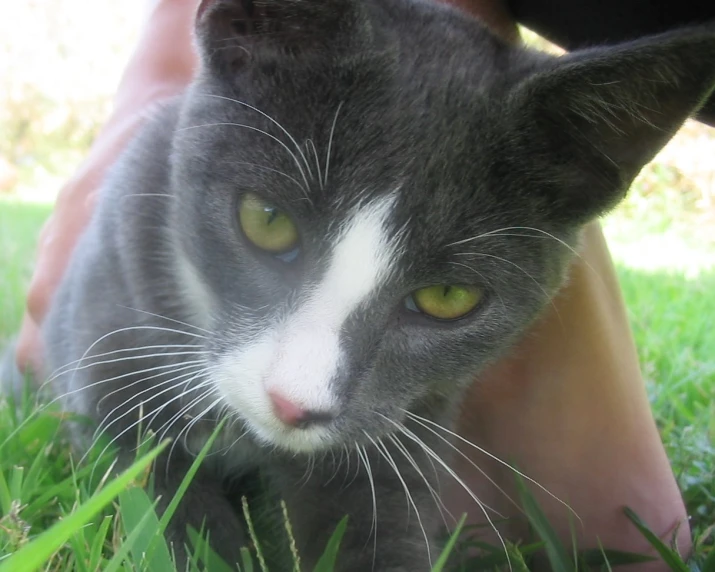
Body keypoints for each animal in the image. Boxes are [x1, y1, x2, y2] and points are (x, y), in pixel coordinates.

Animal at [36, 0, 715, 568]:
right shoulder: (112, 359)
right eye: (267, 220)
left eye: (448, 298)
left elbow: (373, 524)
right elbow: (157, 500)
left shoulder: (403, 420)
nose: (295, 404)